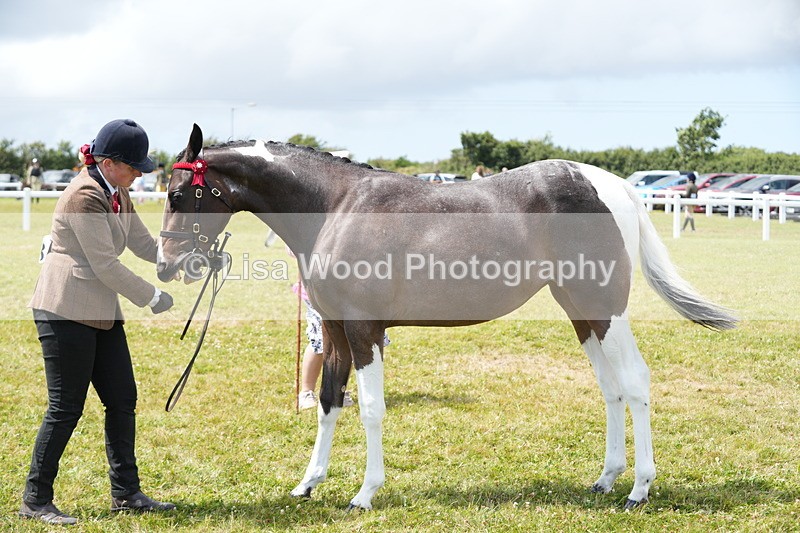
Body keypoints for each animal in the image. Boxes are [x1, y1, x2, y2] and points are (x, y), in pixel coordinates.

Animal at [157, 124, 736, 510]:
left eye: (179, 193)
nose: (167, 265)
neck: (335, 206)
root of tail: (613, 186)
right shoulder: (338, 330)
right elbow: (328, 401)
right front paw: (309, 482)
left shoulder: (365, 330)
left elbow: (371, 409)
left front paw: (365, 493)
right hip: (581, 312)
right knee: (611, 388)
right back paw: (606, 478)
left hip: (605, 307)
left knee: (635, 382)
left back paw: (638, 488)